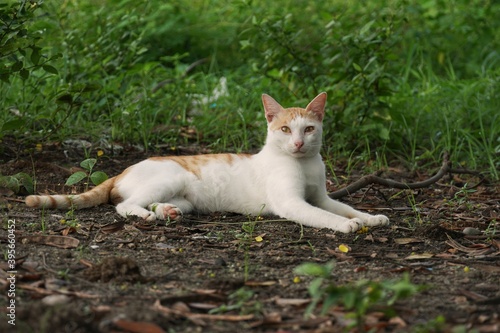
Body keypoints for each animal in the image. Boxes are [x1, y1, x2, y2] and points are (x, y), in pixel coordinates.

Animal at [25, 92, 388, 232]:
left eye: (309, 129)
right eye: (286, 129)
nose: (298, 143)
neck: (304, 164)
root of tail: (122, 170)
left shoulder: (321, 196)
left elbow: (343, 207)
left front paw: (370, 218)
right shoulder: (292, 203)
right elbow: (324, 216)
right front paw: (348, 225)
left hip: (185, 198)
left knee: (153, 203)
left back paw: (167, 212)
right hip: (170, 178)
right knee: (124, 205)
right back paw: (147, 215)